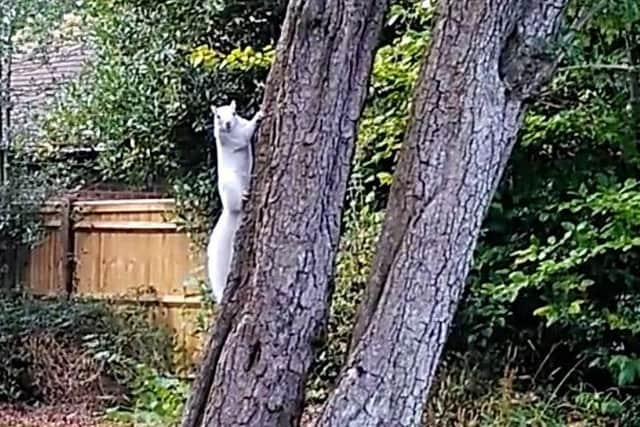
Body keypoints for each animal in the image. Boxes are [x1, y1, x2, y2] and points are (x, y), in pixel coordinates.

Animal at [208, 98, 262, 302]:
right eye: (217, 116)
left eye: (234, 112)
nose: (228, 123)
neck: (232, 130)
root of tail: (230, 211)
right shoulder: (232, 139)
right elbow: (245, 136)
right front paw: (258, 116)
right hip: (231, 187)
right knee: (237, 202)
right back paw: (244, 197)